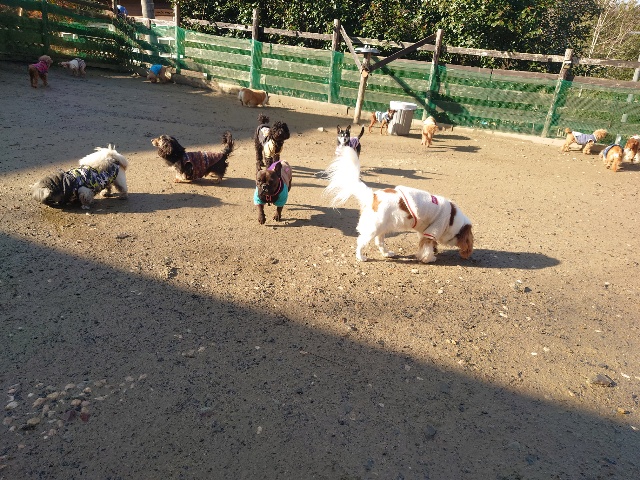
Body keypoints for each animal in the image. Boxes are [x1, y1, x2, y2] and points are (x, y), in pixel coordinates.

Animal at [324, 147, 473, 263]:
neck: (452, 219)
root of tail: (373, 196)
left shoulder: (425, 232)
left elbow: (424, 245)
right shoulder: (433, 230)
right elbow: (427, 248)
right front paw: (429, 258)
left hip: (382, 227)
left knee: (379, 242)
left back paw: (387, 253)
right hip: (374, 228)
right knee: (361, 241)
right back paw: (361, 257)